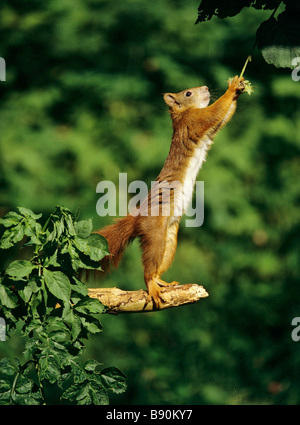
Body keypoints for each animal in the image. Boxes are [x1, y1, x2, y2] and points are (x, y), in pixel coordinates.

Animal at [95, 75, 245, 308]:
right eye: (188, 93)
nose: (204, 87)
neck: (181, 115)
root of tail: (136, 218)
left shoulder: (209, 131)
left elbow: (224, 117)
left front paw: (239, 88)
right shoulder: (194, 121)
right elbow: (215, 112)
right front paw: (232, 87)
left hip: (170, 239)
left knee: (158, 265)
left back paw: (162, 281)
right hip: (154, 232)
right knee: (148, 268)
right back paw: (152, 285)